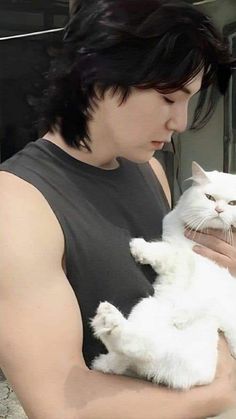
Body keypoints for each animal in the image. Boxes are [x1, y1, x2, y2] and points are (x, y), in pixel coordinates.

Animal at [90, 162, 236, 392]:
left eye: (232, 203)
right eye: (210, 198)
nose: (219, 210)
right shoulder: (176, 257)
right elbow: (162, 251)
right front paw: (138, 248)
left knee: (146, 351)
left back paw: (108, 323)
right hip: (149, 307)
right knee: (138, 351)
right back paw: (107, 325)